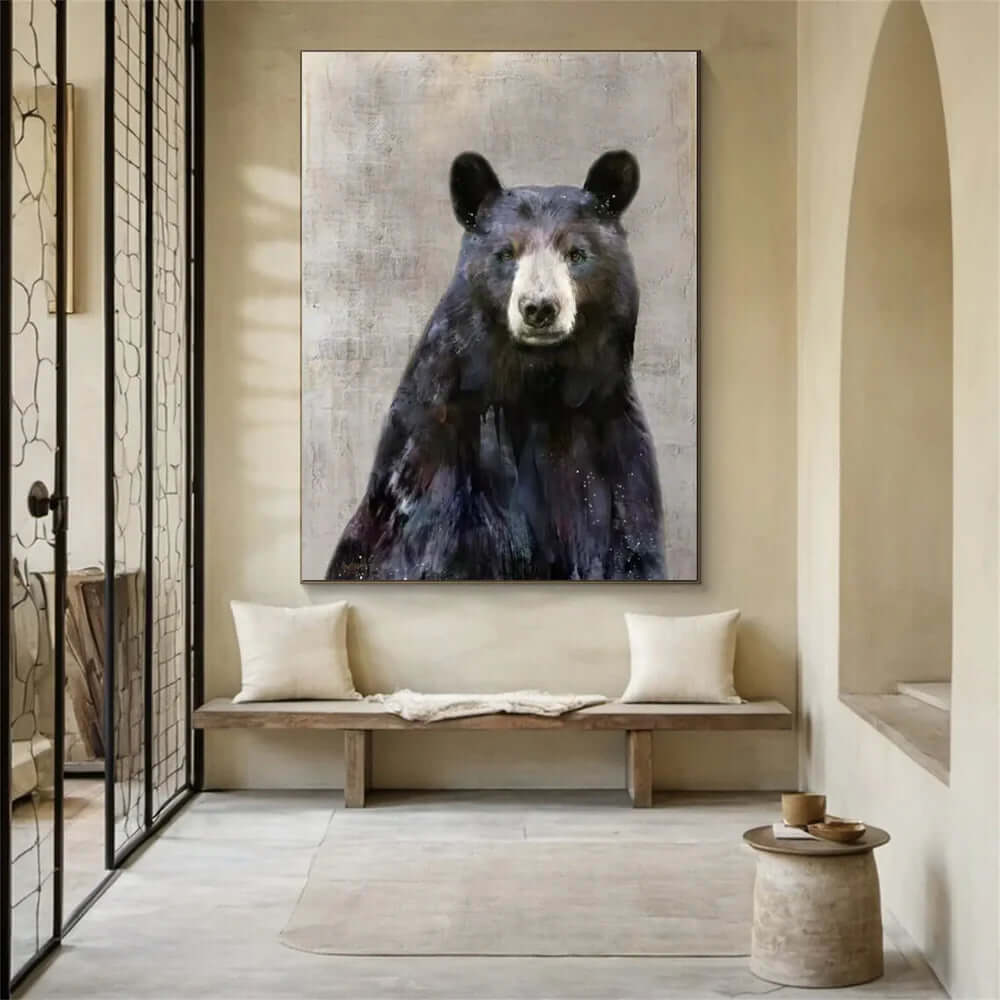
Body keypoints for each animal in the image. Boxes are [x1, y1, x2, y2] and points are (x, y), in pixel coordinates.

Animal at [326, 150, 666, 581]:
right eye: (506, 253)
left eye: (576, 254)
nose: (539, 308)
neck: (538, 387)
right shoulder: (439, 462)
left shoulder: (614, 455)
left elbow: (628, 547)